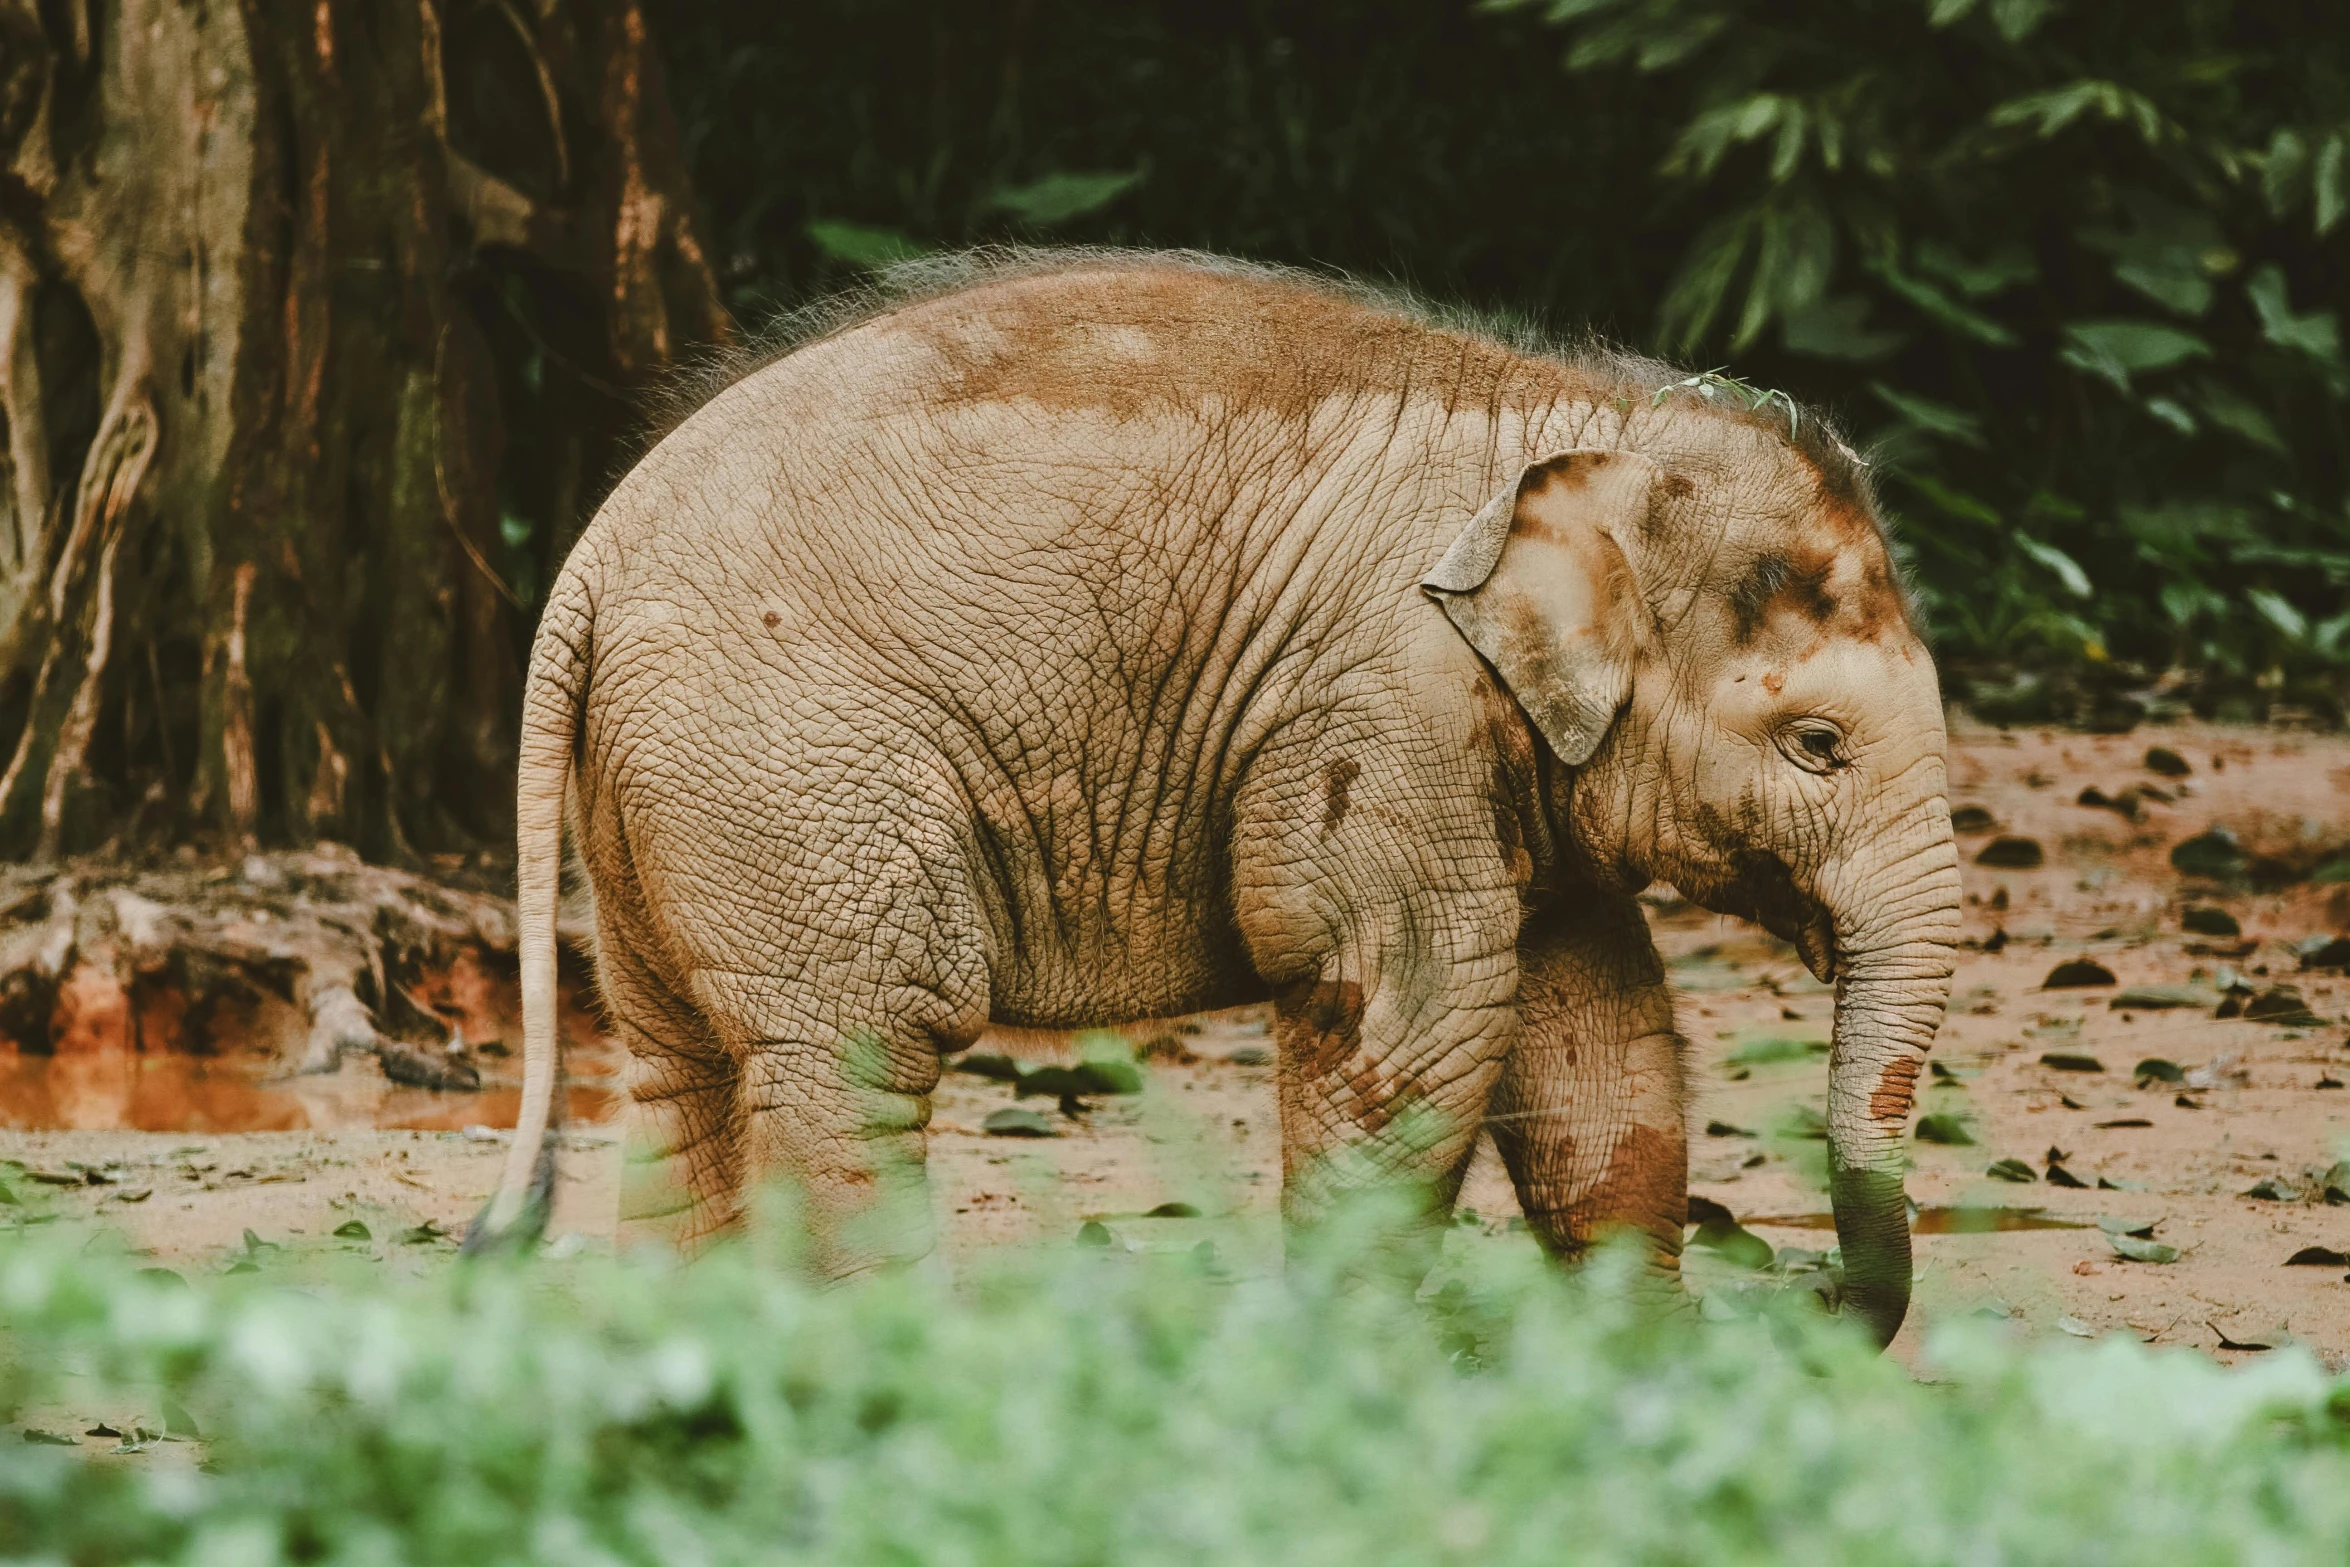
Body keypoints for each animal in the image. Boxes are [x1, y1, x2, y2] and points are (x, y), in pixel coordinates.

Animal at [481, 247, 1964, 1353]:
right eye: (1817, 742)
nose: (1808, 1292)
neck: (1580, 422)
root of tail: (589, 562)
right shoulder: (1381, 703)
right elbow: (1419, 1011)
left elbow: (1593, 1026)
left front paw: (1650, 1369)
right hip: (791, 765)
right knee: (862, 1050)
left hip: (670, 791)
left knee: (681, 1062)